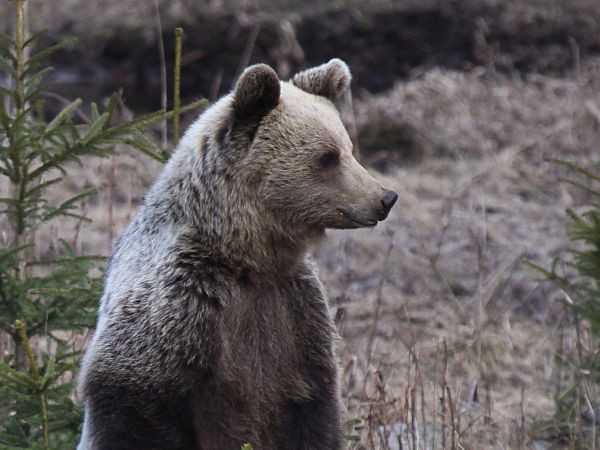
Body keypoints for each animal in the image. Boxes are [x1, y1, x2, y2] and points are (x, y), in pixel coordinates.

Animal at [78, 59, 398, 450]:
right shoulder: (182, 299)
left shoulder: (296, 313)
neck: (246, 258)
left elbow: (315, 407)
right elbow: (135, 399)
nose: (385, 198)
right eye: (327, 157)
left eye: (348, 147)